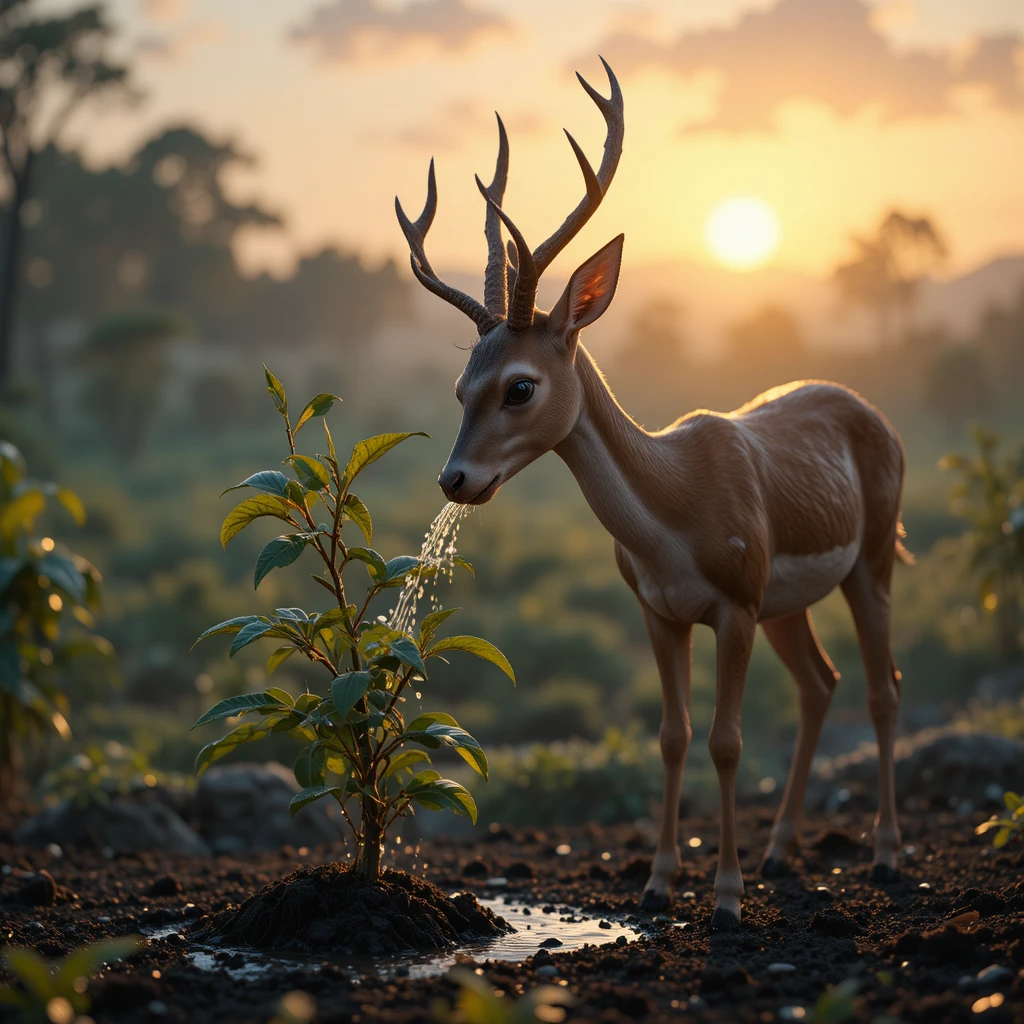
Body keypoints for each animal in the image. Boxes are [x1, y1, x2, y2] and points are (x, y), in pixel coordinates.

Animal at [395, 59, 912, 931]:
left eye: (520, 386)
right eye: (461, 386)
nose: (454, 480)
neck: (676, 510)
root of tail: (877, 415)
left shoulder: (735, 602)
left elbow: (726, 740)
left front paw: (727, 898)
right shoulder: (659, 608)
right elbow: (671, 735)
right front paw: (659, 882)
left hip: (868, 560)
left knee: (882, 689)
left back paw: (881, 854)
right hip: (789, 600)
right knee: (822, 683)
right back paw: (782, 852)